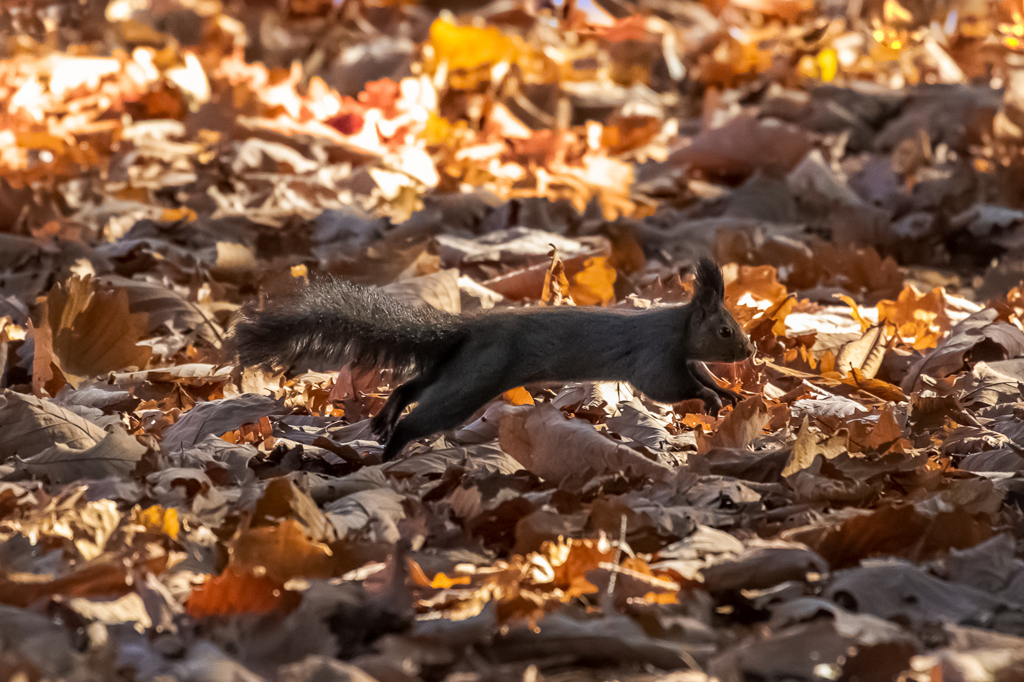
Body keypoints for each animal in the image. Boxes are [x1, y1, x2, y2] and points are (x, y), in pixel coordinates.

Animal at [235, 258, 757, 458]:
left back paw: (385, 421)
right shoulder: (653, 357)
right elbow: (668, 387)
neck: (678, 329)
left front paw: (726, 393)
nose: (749, 350)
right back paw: (390, 448)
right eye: (725, 329)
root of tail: (466, 329)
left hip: (460, 367)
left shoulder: (683, 357)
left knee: (410, 386)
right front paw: (711, 399)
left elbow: (699, 373)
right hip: (475, 378)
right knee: (424, 412)